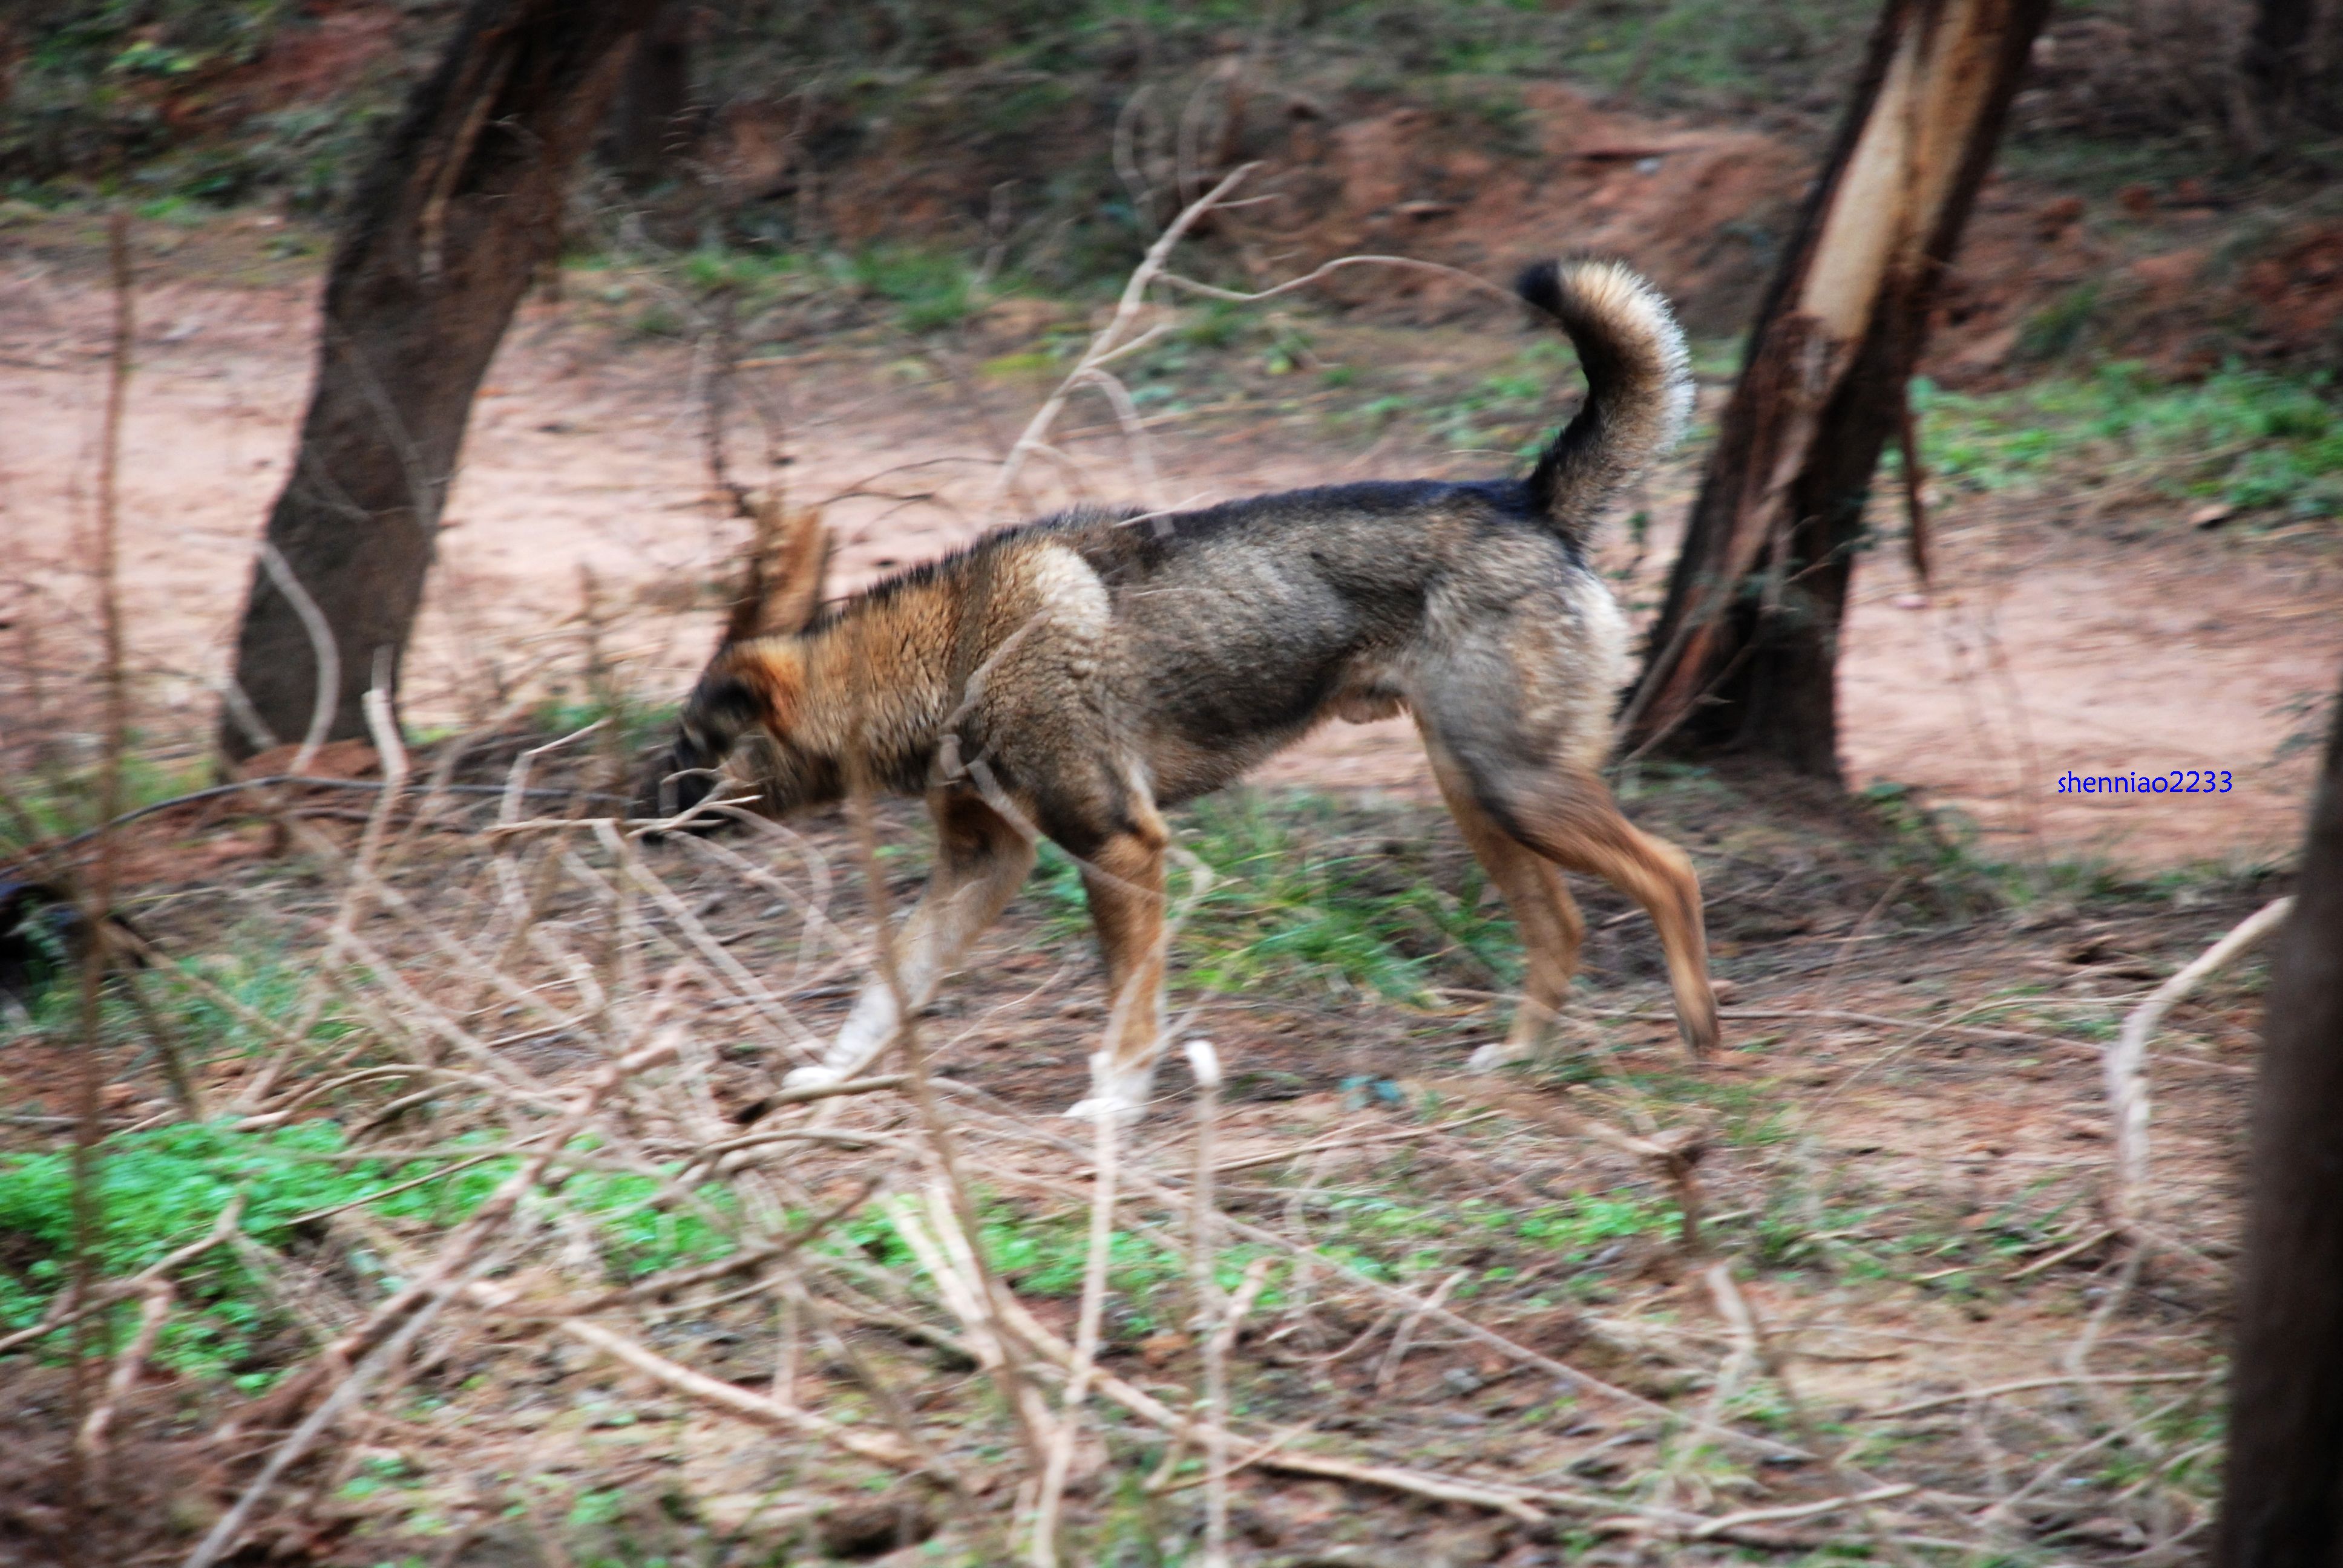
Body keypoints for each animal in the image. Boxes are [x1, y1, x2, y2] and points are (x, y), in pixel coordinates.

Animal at [641, 256, 1724, 1120]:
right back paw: (1522, 1059)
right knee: (1566, 927)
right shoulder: (984, 865)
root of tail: (1531, 504)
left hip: (1516, 790)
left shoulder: (1121, 846)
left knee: (1673, 871)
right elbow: (884, 991)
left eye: (689, 749)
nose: (630, 818)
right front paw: (828, 1080)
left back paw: (1700, 1034)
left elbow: (1129, 1011)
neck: (957, 652)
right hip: (1481, 798)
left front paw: (1112, 1111)